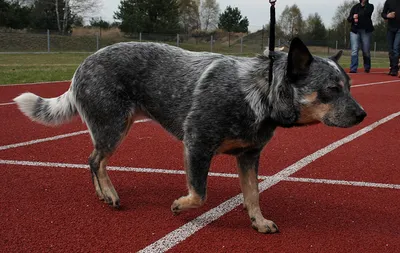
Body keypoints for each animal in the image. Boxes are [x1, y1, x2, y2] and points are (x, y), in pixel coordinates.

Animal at [14, 37, 368, 233]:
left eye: (350, 86)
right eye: (332, 89)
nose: (363, 114)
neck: (258, 94)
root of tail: (79, 68)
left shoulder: (249, 155)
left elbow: (253, 194)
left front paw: (259, 221)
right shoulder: (197, 144)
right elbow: (200, 193)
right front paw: (179, 206)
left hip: (116, 125)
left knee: (93, 159)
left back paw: (103, 194)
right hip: (114, 124)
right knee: (95, 159)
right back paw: (110, 194)